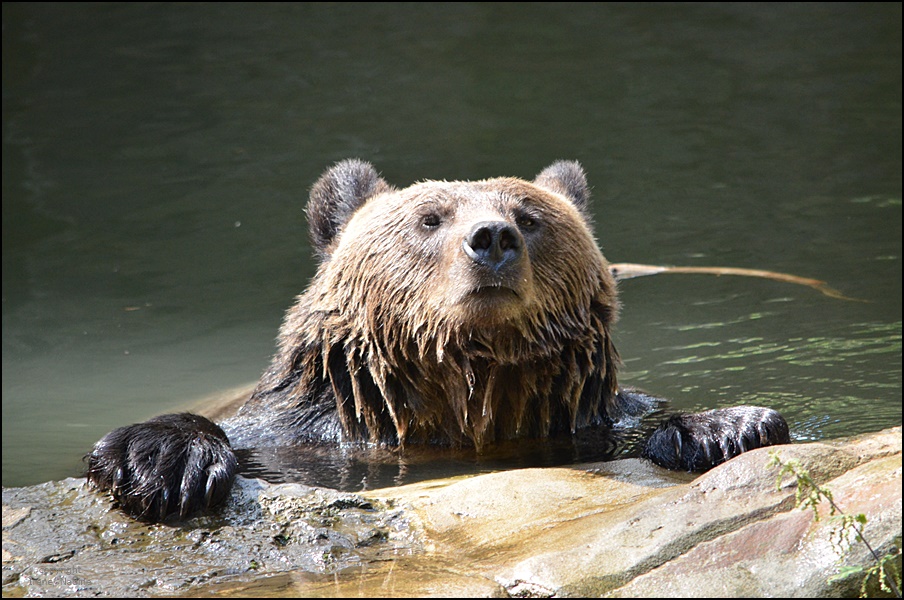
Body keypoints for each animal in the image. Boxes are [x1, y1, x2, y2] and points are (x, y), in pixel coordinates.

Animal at [86, 159, 792, 520]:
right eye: (430, 218)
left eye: (529, 218)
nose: (492, 239)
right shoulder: (301, 429)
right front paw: (164, 461)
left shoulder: (585, 418)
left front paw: (729, 427)